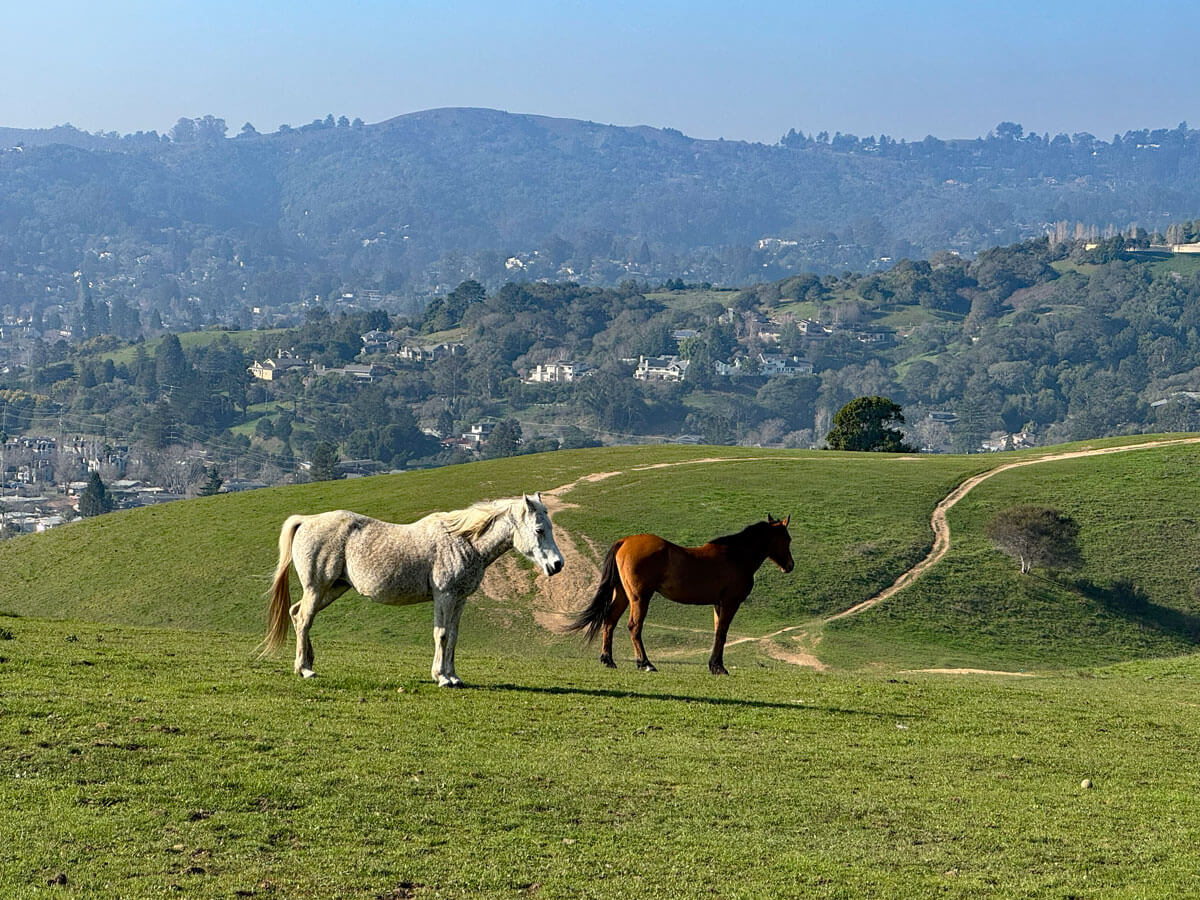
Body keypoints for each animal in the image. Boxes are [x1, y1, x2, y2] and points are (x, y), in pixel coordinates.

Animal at [260, 494, 564, 687]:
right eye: (539, 529)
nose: (557, 564)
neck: (463, 541)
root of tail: (306, 520)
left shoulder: (460, 599)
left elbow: (454, 637)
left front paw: (454, 676)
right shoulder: (445, 596)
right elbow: (441, 635)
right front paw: (441, 677)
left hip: (332, 589)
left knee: (297, 614)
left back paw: (308, 663)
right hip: (317, 587)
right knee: (303, 619)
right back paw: (304, 669)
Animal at [567, 515, 793, 674]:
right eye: (788, 539)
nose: (790, 566)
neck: (735, 556)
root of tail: (625, 541)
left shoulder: (718, 604)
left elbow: (717, 633)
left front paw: (714, 665)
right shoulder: (730, 603)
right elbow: (722, 633)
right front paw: (719, 668)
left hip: (623, 595)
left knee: (609, 621)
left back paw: (608, 659)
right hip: (640, 598)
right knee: (634, 627)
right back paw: (645, 663)